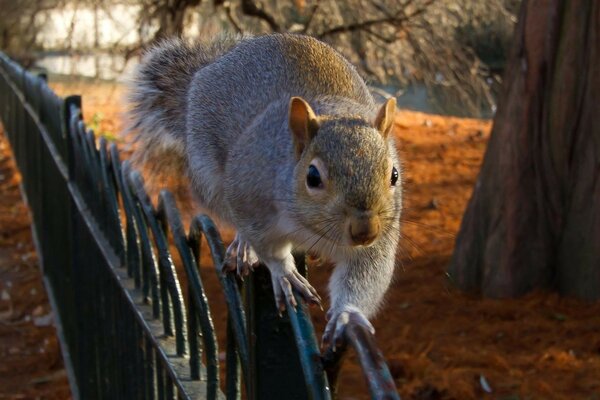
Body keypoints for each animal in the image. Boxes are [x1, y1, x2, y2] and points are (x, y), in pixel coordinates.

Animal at [129, 33, 406, 346]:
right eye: (313, 177)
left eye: (394, 174)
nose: (365, 231)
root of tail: (208, 69)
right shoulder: (251, 200)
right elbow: (269, 248)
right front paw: (284, 274)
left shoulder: (382, 236)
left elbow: (366, 274)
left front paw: (347, 314)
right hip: (210, 179)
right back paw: (243, 247)